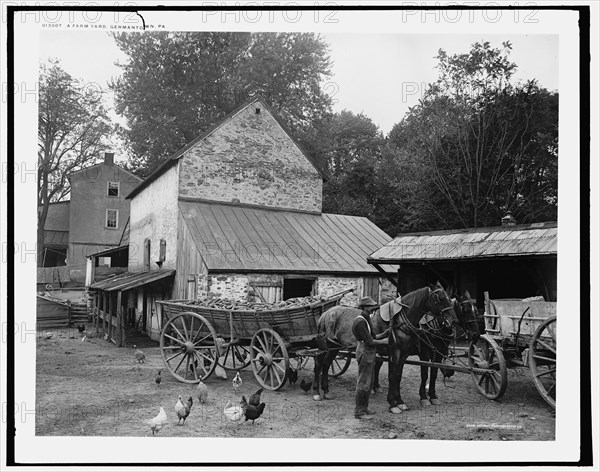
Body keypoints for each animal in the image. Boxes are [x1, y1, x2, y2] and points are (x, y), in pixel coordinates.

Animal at [384, 282, 460, 412]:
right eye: (440, 299)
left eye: (452, 302)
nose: (453, 321)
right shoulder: (424, 353)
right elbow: (423, 374)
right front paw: (423, 398)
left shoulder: (438, 354)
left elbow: (433, 374)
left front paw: (433, 396)